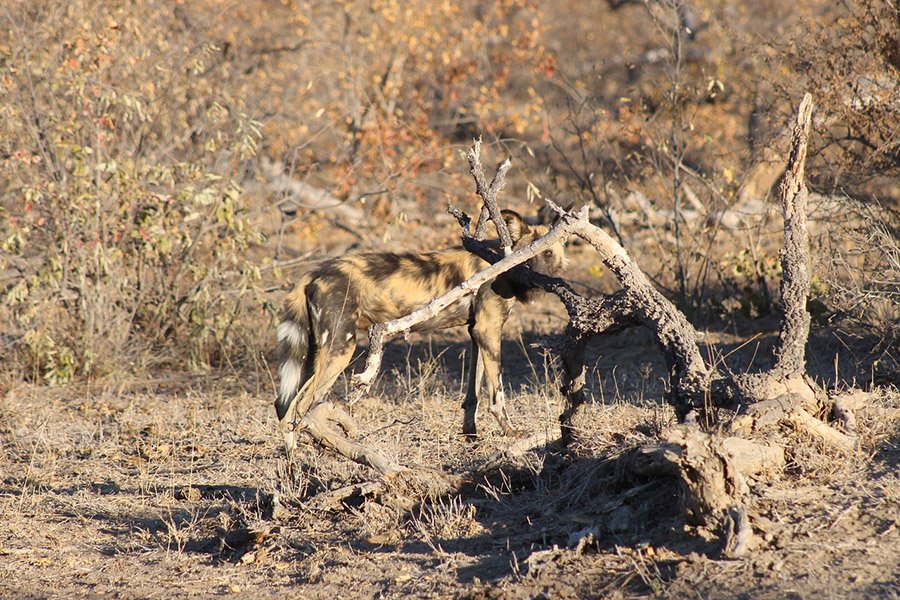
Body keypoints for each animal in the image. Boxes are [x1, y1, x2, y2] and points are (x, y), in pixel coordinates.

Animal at [278, 210, 568, 454]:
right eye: (528, 256)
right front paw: (511, 432)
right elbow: (497, 395)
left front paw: (470, 436)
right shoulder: (489, 329)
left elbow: (472, 395)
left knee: (286, 405)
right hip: (340, 348)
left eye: (548, 254)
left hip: (316, 353)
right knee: (301, 404)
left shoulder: (477, 333)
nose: (538, 279)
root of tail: (316, 271)